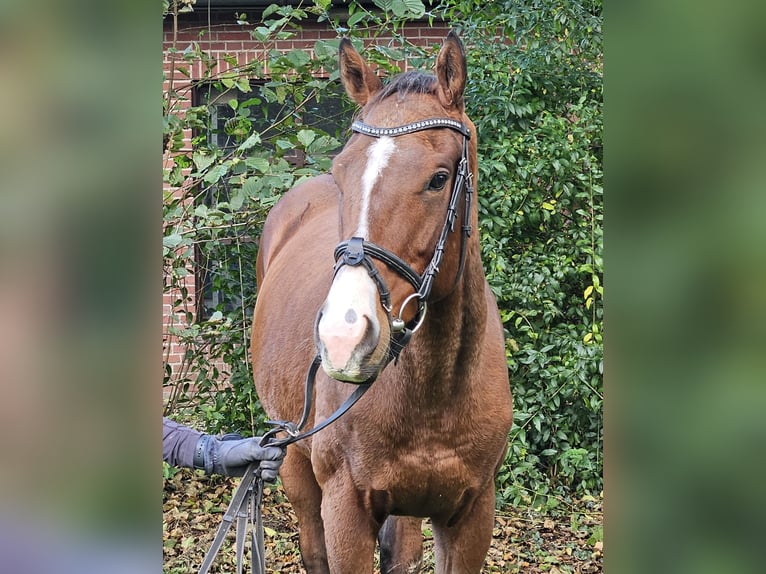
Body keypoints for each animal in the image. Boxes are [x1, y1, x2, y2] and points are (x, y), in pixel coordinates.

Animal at [254, 32, 516, 574]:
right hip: (293, 461)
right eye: (341, 173)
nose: (343, 337)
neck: (436, 392)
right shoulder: (346, 512)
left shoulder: (471, 515)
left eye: (439, 178)